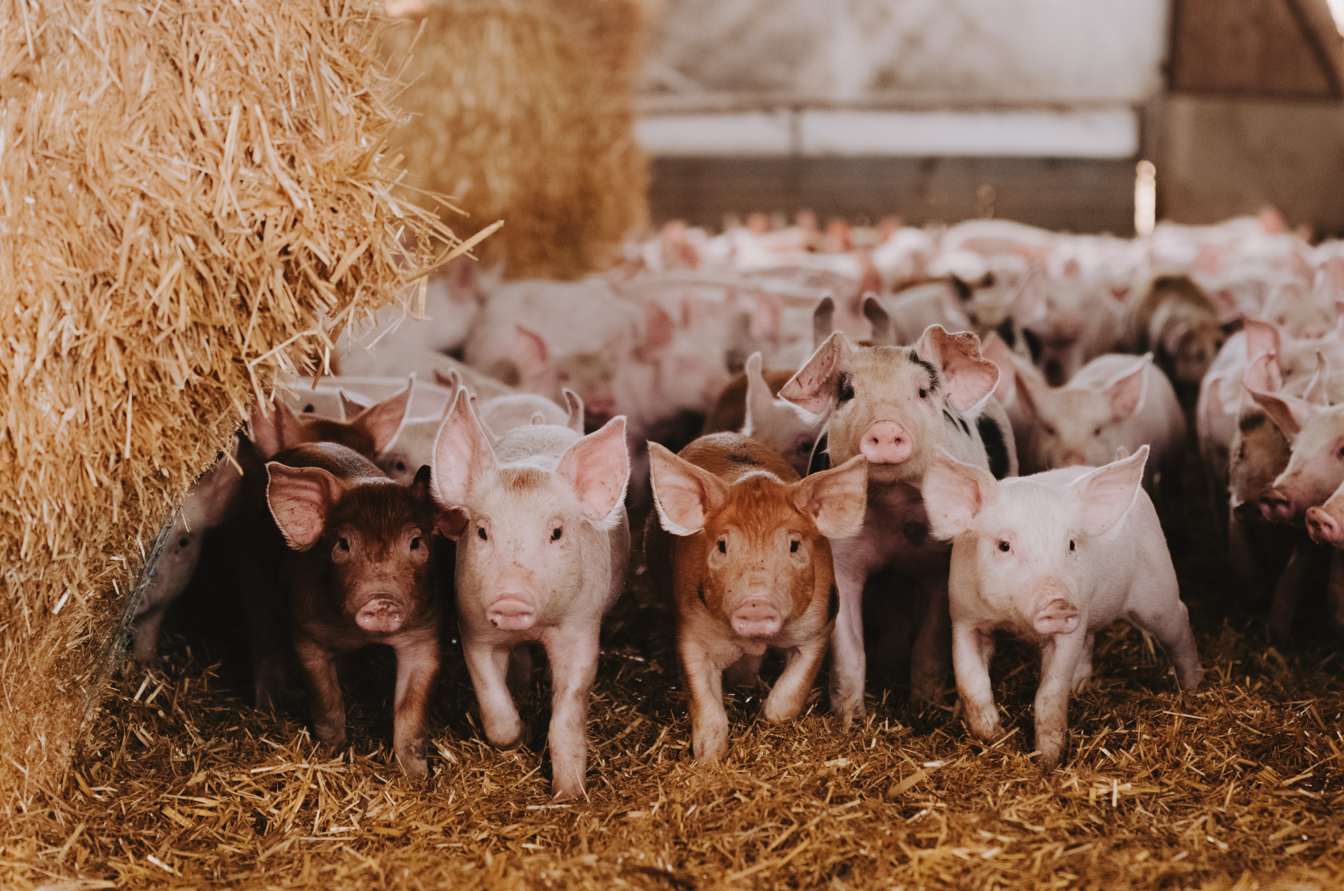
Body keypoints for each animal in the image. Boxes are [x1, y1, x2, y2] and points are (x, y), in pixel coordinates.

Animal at [262, 442, 447, 779]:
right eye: (343, 544)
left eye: (416, 542)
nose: (382, 601)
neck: (361, 637)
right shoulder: (307, 634)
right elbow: (326, 700)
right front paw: (331, 753)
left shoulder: (424, 637)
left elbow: (411, 712)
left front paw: (416, 778)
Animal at [430, 391, 631, 799]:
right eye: (482, 531)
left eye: (556, 532)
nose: (510, 599)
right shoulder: (473, 626)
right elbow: (490, 693)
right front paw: (516, 736)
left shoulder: (581, 627)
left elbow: (568, 711)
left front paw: (568, 796)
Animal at [645, 435, 868, 762]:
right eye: (722, 545)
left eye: (794, 545)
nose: (756, 605)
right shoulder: (692, 632)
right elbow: (707, 709)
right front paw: (709, 760)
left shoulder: (818, 625)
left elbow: (788, 698)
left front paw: (767, 717)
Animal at [778, 325, 1012, 722]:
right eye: (848, 393)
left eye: (921, 392)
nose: (885, 429)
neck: (893, 504)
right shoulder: (841, 560)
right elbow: (850, 650)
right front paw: (850, 720)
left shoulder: (938, 564)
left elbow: (929, 643)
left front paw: (925, 709)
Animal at [923, 446, 1202, 767]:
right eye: (1004, 545)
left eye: (1070, 544)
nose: (1059, 604)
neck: (1015, 623)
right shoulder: (964, 617)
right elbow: (972, 682)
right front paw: (995, 738)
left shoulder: (1070, 630)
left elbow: (1050, 692)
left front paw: (1048, 762)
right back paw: (1080, 687)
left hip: (1157, 589)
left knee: (1179, 620)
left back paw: (1193, 687)